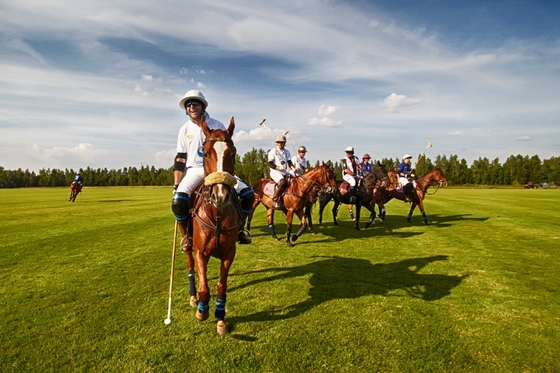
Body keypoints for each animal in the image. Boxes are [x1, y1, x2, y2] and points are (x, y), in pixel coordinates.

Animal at [186, 116, 243, 334]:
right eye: (205, 151)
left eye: (232, 153)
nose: (220, 196)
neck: (217, 215)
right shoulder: (200, 251)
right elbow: (204, 288)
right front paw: (202, 311)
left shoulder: (228, 252)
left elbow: (221, 285)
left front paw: (221, 318)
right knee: (190, 263)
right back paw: (193, 298)